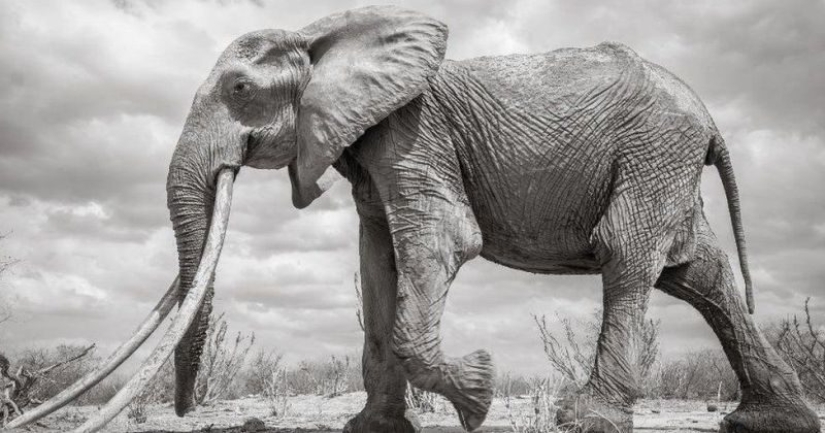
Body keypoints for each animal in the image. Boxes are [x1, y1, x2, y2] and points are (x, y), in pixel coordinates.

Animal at [10, 6, 820, 433]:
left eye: (239, 90)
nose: (180, 414)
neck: (323, 33)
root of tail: (710, 119)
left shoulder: (413, 133)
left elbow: (439, 243)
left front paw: (478, 396)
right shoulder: (371, 157)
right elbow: (377, 264)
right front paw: (374, 428)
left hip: (655, 151)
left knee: (628, 257)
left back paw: (586, 418)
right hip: (664, 162)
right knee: (700, 276)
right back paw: (768, 420)